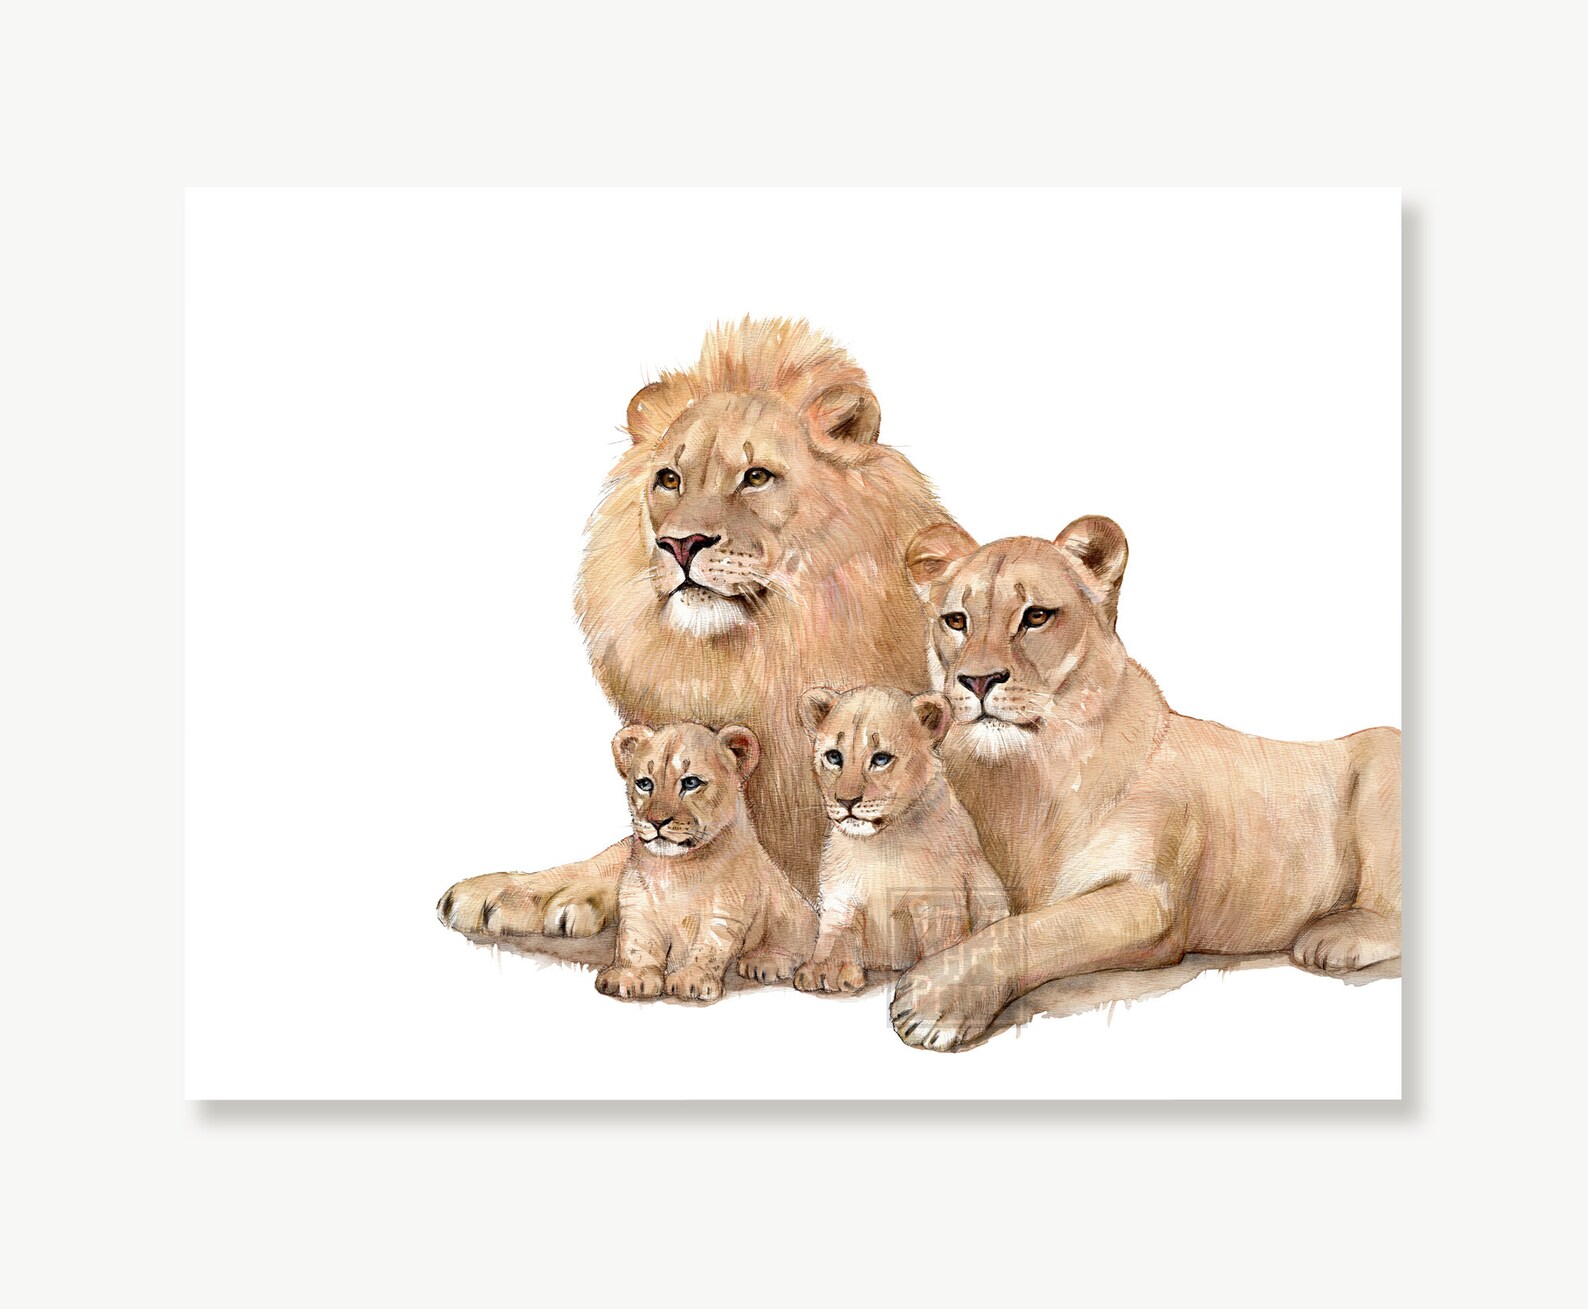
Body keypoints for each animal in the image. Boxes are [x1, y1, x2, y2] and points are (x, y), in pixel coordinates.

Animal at [437, 319, 954, 940]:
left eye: (756, 476)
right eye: (669, 479)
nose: (680, 544)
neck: (758, 656)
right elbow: (629, 847)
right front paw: (522, 889)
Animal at [596, 721, 815, 1003]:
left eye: (690, 783)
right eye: (644, 784)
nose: (656, 821)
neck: (675, 869)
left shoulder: (725, 912)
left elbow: (710, 946)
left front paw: (692, 980)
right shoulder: (638, 906)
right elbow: (635, 943)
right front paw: (629, 977)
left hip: (794, 912)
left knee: (796, 943)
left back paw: (763, 963)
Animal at [793, 685, 1008, 992]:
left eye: (881, 759)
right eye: (834, 757)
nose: (846, 801)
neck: (880, 844)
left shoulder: (937, 901)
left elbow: (940, 943)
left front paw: (934, 974)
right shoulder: (841, 897)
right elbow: (835, 934)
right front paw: (825, 969)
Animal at [890, 515, 1402, 1051]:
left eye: (1036, 616)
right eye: (956, 621)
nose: (978, 680)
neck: (1024, 777)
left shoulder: (1152, 903)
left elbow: (1036, 930)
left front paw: (933, 1001)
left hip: (1383, 761)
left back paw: (1334, 938)